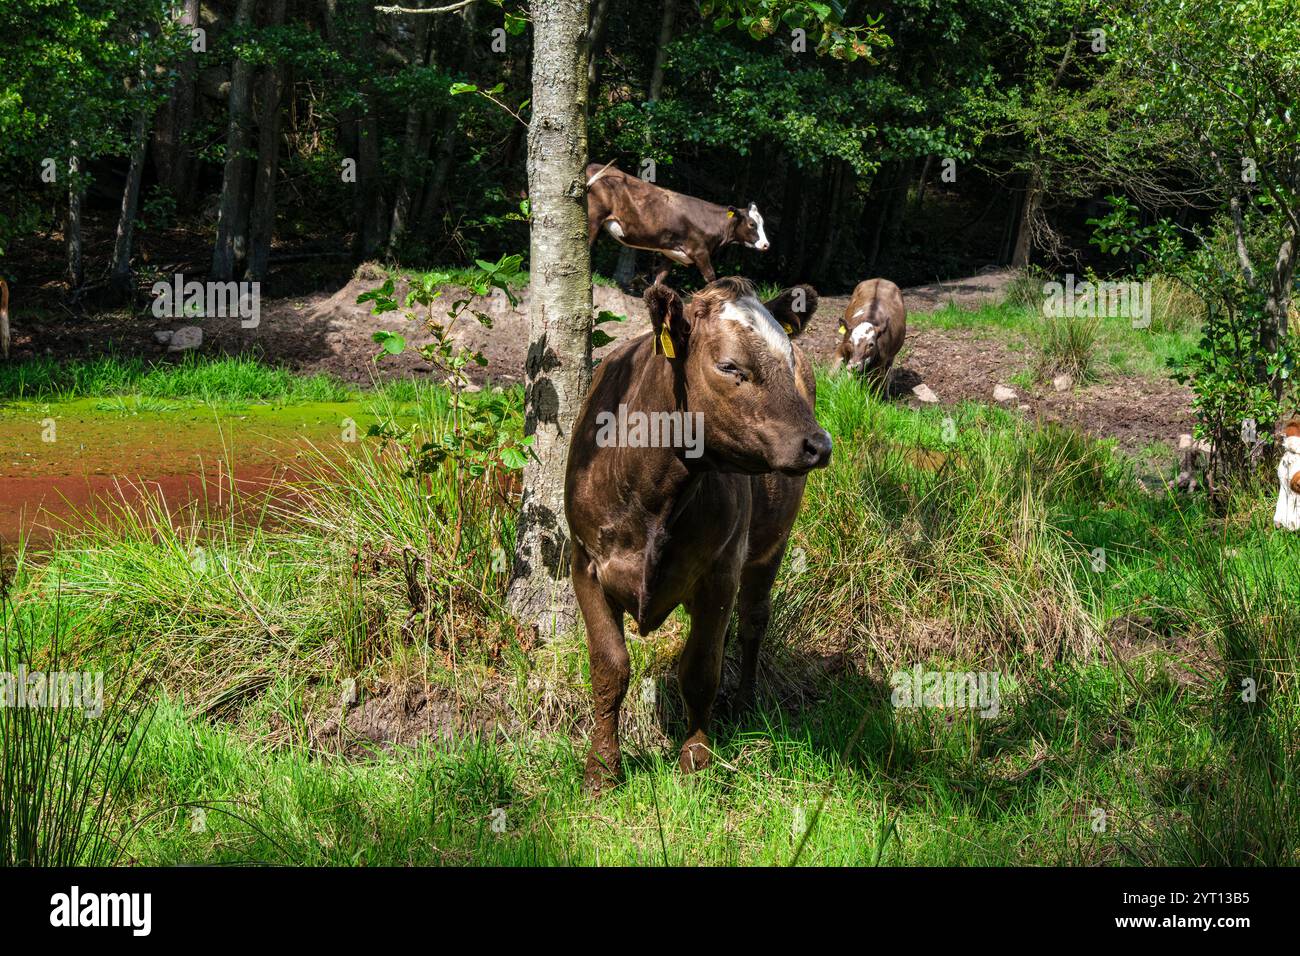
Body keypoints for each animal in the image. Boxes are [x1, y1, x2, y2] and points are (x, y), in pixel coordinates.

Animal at [565, 276, 831, 793]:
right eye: (730, 366)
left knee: (751, 622)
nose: (819, 443)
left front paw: (696, 758)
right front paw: (602, 768)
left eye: (788, 362)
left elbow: (701, 669)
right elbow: (610, 668)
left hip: (770, 545)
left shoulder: (720, 571)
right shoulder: (584, 562)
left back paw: (745, 703)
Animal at [585, 162, 770, 285]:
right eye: (752, 224)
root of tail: (592, 166)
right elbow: (711, 279)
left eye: (762, 223)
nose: (766, 244)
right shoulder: (700, 251)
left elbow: (658, 281)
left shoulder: (670, 253)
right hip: (593, 218)